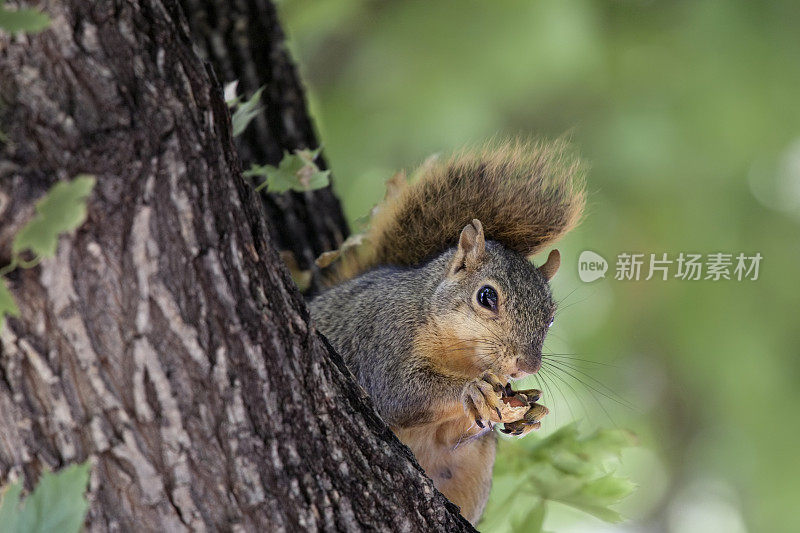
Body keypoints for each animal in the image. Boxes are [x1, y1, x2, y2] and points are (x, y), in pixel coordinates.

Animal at [310, 138, 584, 524]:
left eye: (551, 318)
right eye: (486, 296)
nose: (526, 367)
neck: (461, 356)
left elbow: (459, 434)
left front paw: (530, 412)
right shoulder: (384, 338)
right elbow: (399, 392)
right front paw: (472, 390)